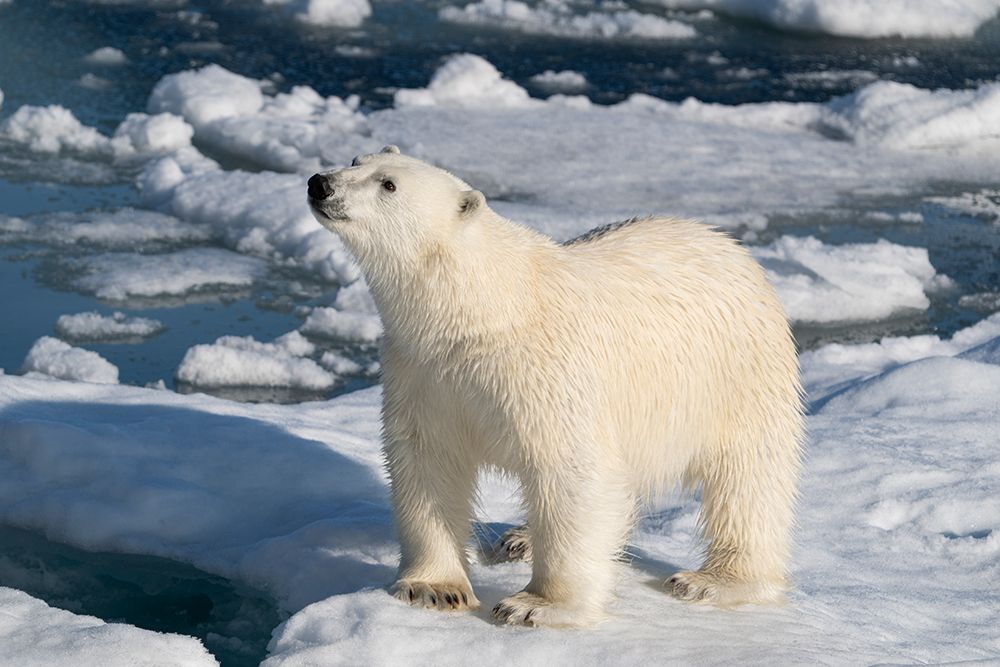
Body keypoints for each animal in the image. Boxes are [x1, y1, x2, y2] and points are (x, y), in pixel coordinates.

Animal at [307, 146, 804, 627]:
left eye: (388, 184)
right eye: (355, 161)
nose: (320, 183)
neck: (482, 308)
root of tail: (727, 243)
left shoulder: (546, 372)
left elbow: (570, 471)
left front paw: (535, 605)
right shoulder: (424, 371)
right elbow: (428, 462)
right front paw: (433, 588)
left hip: (738, 376)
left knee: (748, 478)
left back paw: (714, 580)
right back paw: (521, 539)